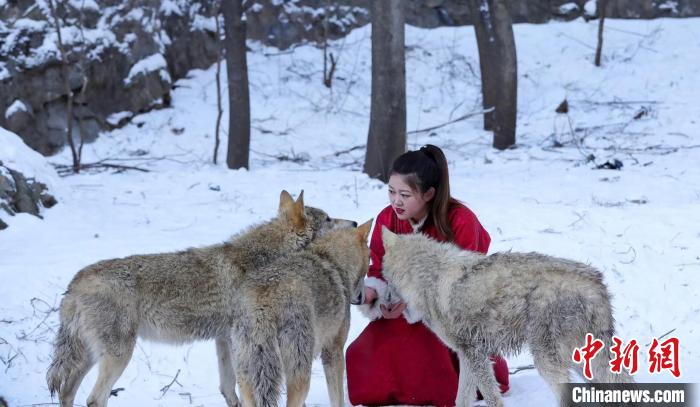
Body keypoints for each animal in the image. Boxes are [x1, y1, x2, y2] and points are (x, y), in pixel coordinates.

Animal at [47, 191, 356, 407]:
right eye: (329, 219)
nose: (354, 222)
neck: (263, 258)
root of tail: (75, 282)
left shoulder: (225, 339)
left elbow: (228, 388)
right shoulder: (236, 340)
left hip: (89, 356)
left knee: (66, 391)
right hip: (118, 355)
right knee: (94, 399)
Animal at [232, 220, 374, 407]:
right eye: (371, 260)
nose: (360, 299)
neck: (332, 260)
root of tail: (261, 306)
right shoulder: (333, 350)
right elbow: (338, 399)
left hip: (246, 380)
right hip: (301, 377)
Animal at [382, 230, 636, 407]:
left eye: (384, 276)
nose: (383, 302)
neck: (427, 278)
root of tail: (597, 284)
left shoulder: (475, 355)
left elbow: (492, 399)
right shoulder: (468, 356)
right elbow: (460, 399)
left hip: (548, 361)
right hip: (581, 360)